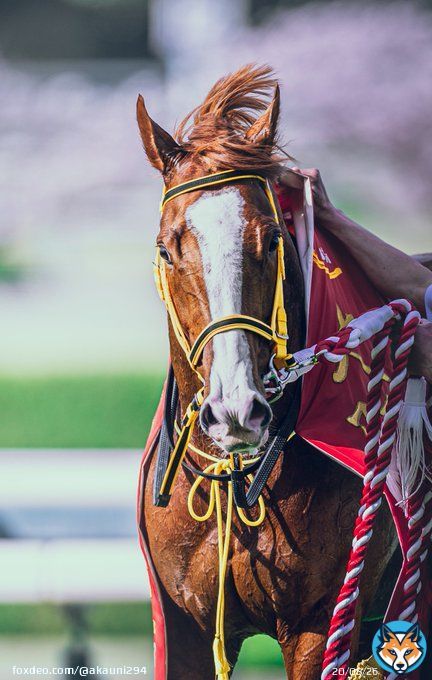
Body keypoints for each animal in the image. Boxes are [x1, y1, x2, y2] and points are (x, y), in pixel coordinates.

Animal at [137, 65, 397, 679]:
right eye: (166, 249)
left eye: (273, 238)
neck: (234, 480)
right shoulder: (183, 628)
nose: (235, 409)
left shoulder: (322, 621)